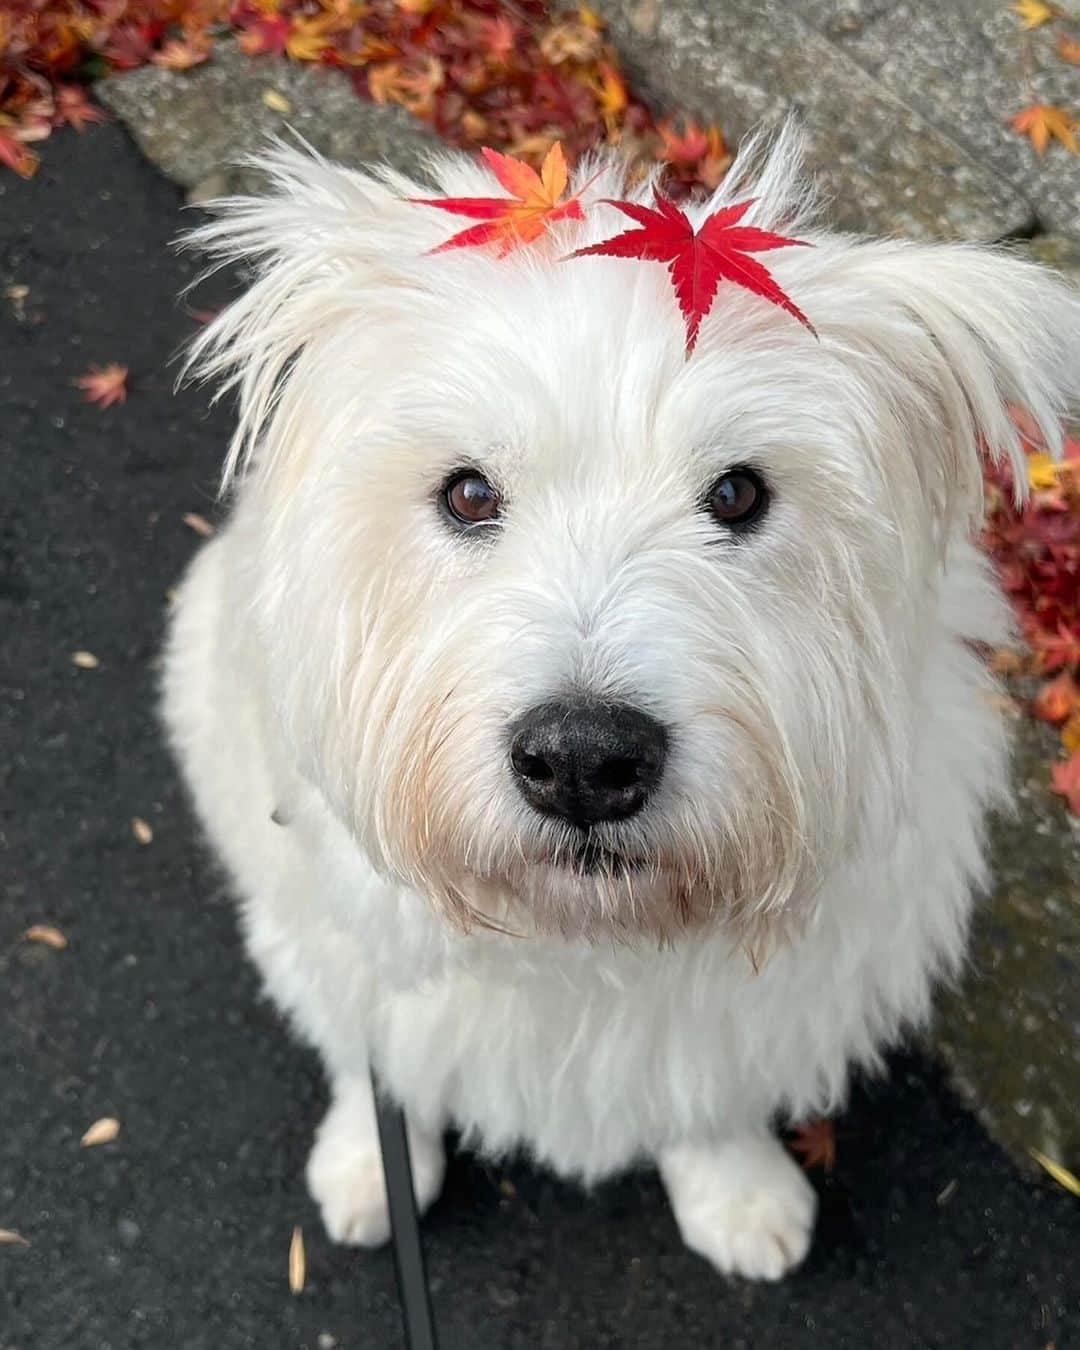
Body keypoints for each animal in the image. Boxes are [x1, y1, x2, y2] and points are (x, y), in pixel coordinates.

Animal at [162, 128, 1080, 1285]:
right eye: (468, 493)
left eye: (739, 492)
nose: (583, 763)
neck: (588, 945)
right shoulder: (340, 942)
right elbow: (377, 1057)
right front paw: (372, 1162)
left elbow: (711, 1088)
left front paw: (734, 1189)